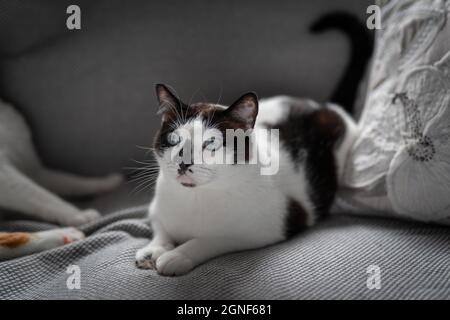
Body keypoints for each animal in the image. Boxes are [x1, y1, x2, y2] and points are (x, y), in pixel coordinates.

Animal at [134, 13, 372, 276]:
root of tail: (325, 105)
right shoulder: (156, 210)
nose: (184, 163)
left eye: (211, 142)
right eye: (174, 139)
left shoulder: (261, 229)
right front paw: (154, 250)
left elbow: (210, 239)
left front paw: (177, 255)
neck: (195, 197)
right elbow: (161, 229)